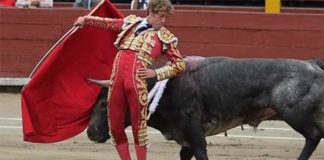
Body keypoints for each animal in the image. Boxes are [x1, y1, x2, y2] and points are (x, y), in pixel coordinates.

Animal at [86, 56, 324, 160]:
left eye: (104, 104)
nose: (91, 133)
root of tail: (313, 64)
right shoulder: (187, 139)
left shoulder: (195, 134)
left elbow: (201, 155)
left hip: (294, 113)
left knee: (313, 134)